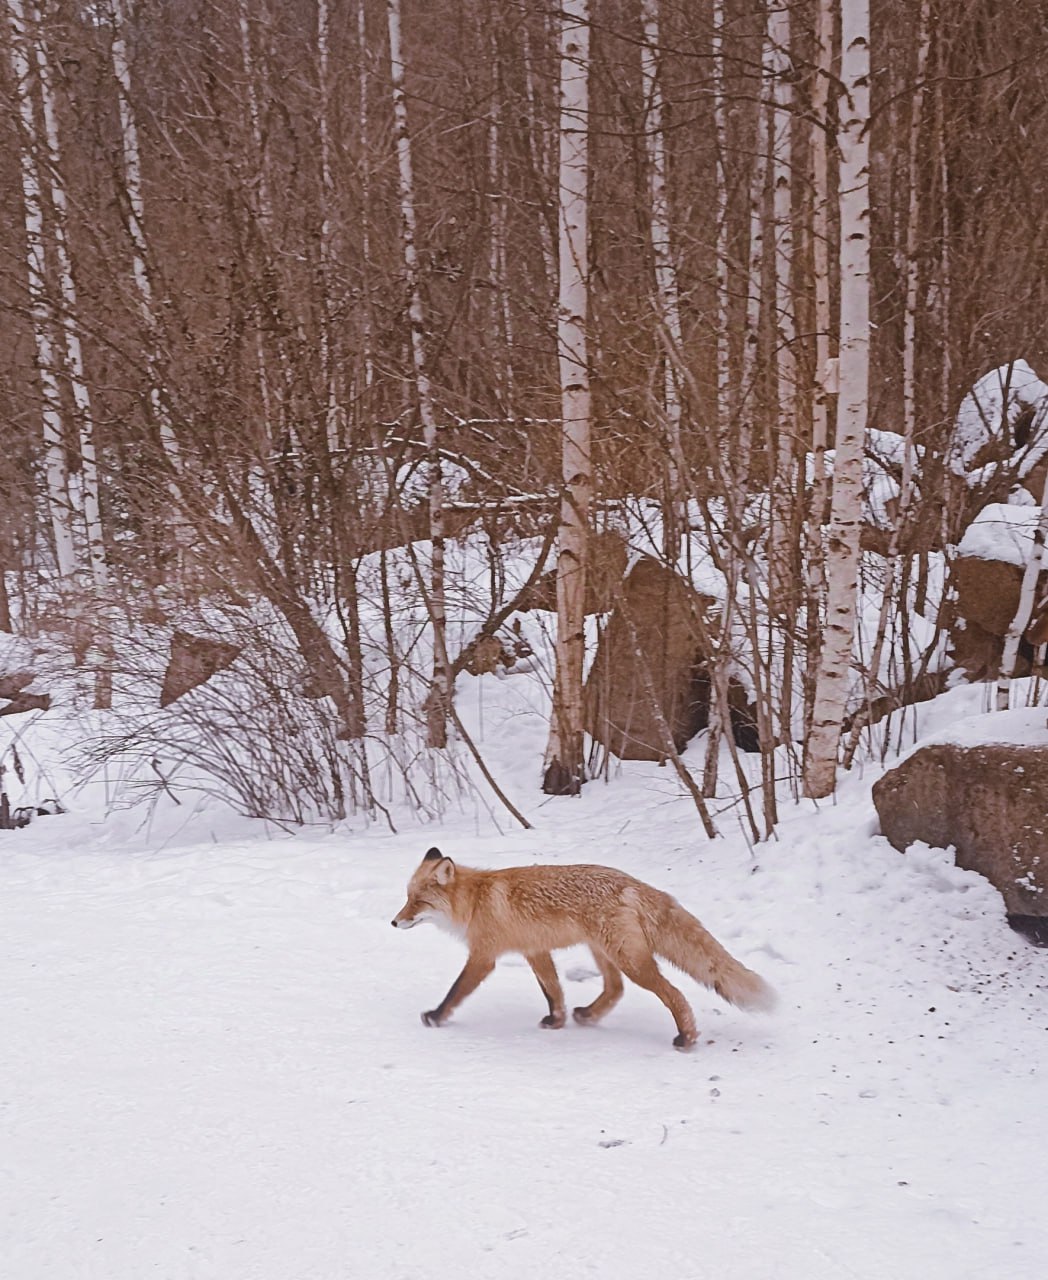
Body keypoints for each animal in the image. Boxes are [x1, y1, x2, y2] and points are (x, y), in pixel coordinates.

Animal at [389, 849, 772, 1049]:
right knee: (615, 989)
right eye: (406, 898)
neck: (474, 900)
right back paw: (588, 1015)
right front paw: (556, 1021)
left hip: (629, 959)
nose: (394, 922)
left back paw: (686, 1036)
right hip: (603, 952)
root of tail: (633, 884)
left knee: (672, 993)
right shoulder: (535, 951)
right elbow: (554, 992)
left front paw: (436, 1017)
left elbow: (455, 991)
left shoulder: (484, 957)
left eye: (418, 901)